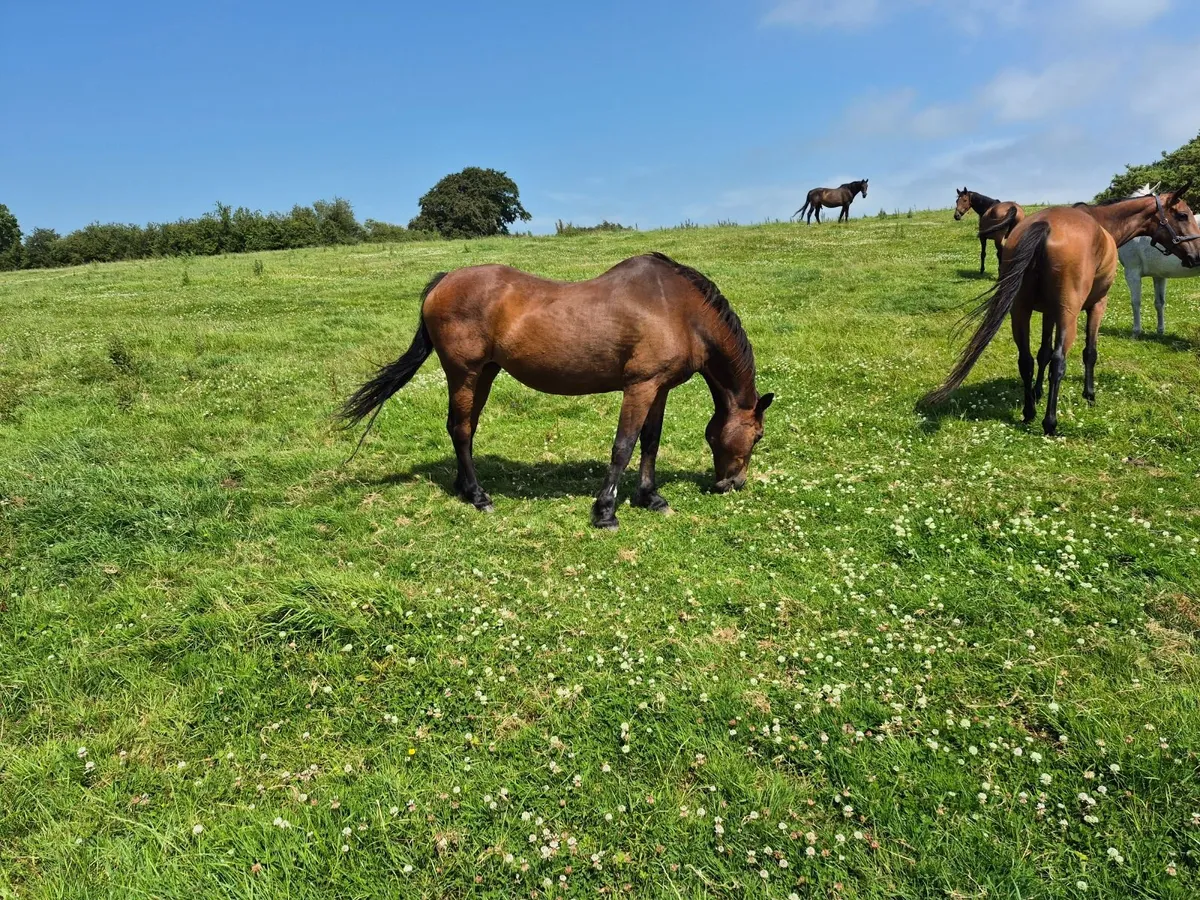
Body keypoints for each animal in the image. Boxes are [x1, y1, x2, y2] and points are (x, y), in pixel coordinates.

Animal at [340, 253, 774, 530]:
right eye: (757, 435)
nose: (733, 484)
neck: (679, 311)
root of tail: (443, 281)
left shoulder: (659, 388)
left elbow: (650, 441)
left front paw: (651, 498)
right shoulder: (640, 387)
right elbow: (623, 446)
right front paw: (605, 512)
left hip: (484, 375)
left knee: (463, 427)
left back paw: (465, 488)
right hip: (464, 373)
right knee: (461, 429)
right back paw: (479, 496)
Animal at [1118, 184, 1200, 336]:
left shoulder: (1132, 273)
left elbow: (1135, 302)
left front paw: (1136, 332)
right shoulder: (1159, 275)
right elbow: (1159, 302)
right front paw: (1160, 331)